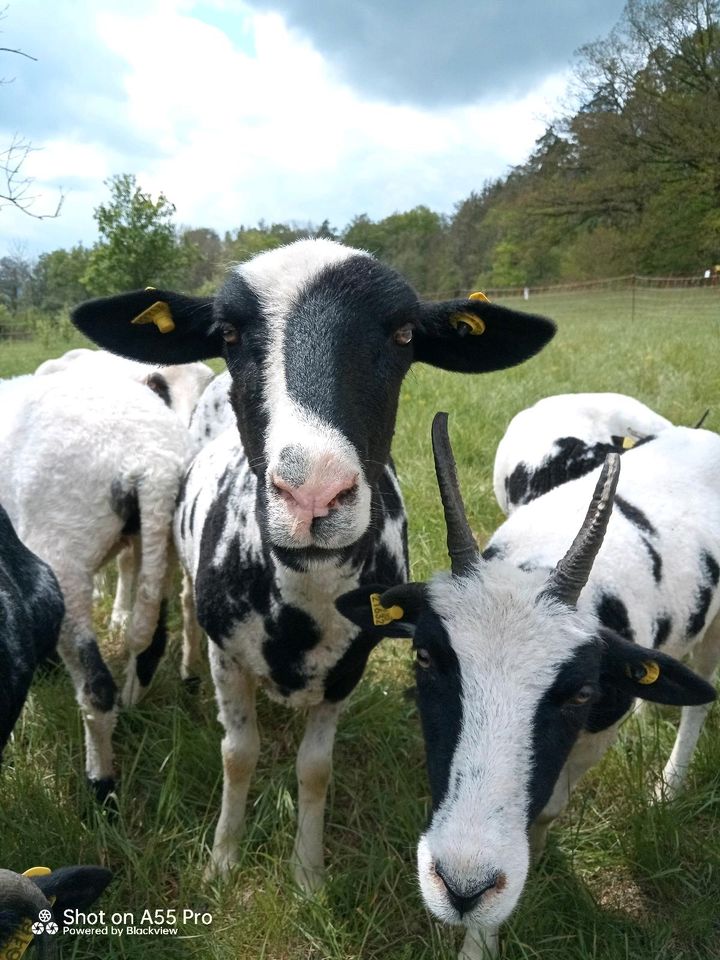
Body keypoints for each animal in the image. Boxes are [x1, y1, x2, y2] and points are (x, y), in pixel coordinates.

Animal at [0, 376, 193, 804]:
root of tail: (152, 460)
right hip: (160, 540)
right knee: (152, 642)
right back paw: (130, 707)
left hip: (64, 551)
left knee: (97, 689)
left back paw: (102, 791)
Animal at [71, 236, 556, 888]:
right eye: (227, 334)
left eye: (405, 335)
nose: (313, 495)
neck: (303, 601)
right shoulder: (231, 655)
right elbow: (238, 755)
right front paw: (223, 858)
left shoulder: (348, 668)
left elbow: (314, 768)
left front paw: (308, 872)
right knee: (185, 605)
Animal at [336, 414, 716, 960]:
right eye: (424, 657)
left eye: (581, 693)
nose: (463, 888)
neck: (537, 563)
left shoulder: (595, 734)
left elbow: (551, 807)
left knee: (700, 701)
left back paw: (669, 785)